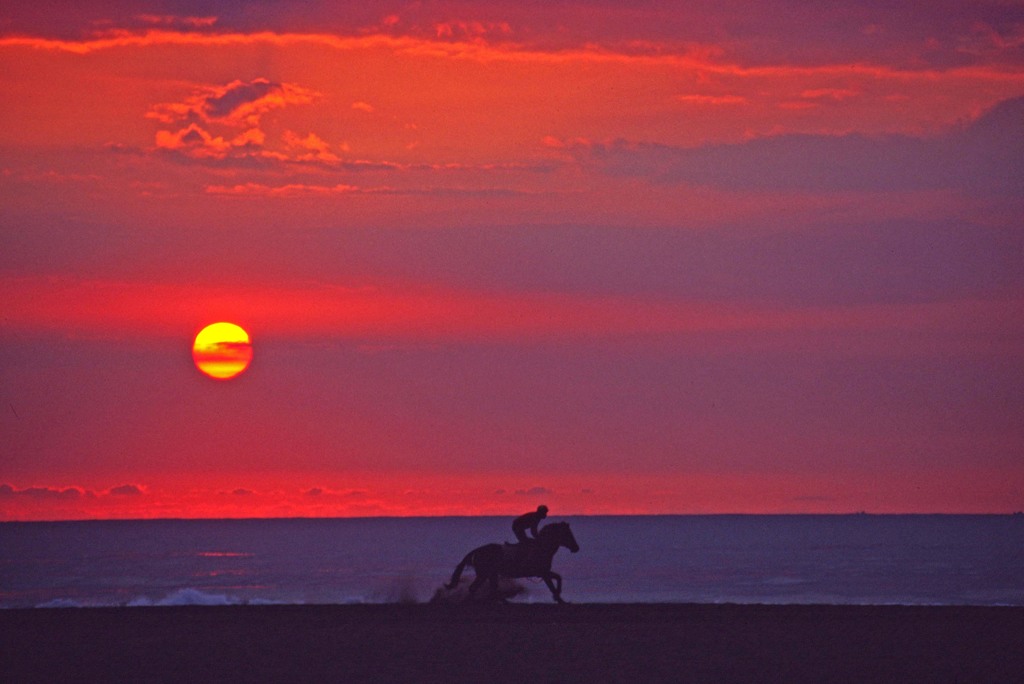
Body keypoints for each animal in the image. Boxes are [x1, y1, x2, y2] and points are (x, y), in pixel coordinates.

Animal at [444, 520, 581, 602]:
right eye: (567, 534)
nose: (576, 547)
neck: (542, 548)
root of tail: (477, 550)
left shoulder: (544, 572)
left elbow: (558, 578)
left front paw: (559, 597)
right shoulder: (543, 573)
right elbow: (553, 584)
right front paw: (558, 598)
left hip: (489, 574)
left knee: (489, 588)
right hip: (485, 574)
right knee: (476, 588)